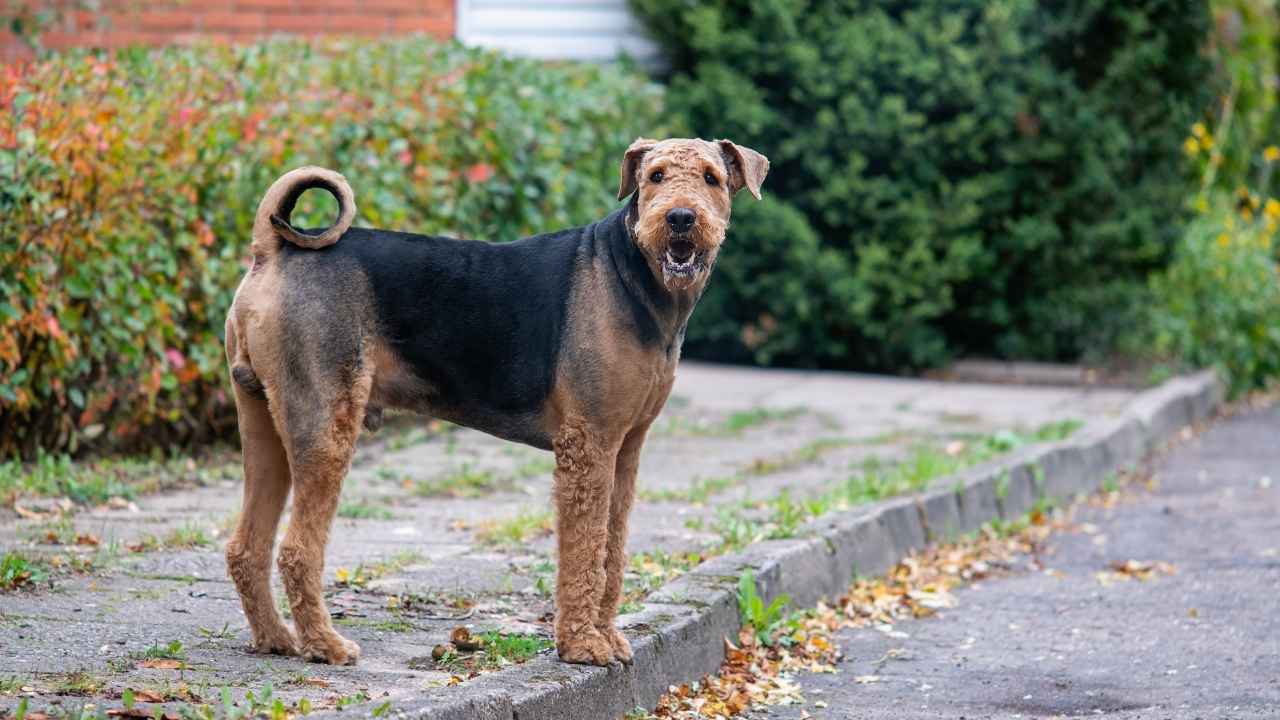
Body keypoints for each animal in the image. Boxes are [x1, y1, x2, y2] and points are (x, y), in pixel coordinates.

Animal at [222, 137, 768, 666]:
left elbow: (610, 553)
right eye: (655, 176)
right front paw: (581, 647)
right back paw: (326, 646)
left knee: (246, 548)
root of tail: (272, 249)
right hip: (324, 428)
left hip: (265, 424)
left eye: (711, 178)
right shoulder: (588, 444)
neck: (636, 279)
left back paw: (276, 639)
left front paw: (607, 638)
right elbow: (584, 551)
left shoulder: (626, 447)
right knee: (296, 550)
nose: (680, 218)